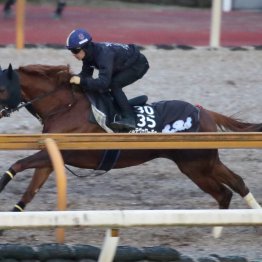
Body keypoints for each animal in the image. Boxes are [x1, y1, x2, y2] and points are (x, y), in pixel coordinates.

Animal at [0, 63, 260, 231]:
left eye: (1, 89)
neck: (65, 106)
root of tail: (204, 111)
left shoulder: (59, 151)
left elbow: (18, 164)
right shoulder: (51, 154)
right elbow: (30, 190)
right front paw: (11, 220)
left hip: (195, 165)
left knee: (224, 191)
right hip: (204, 162)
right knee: (234, 185)